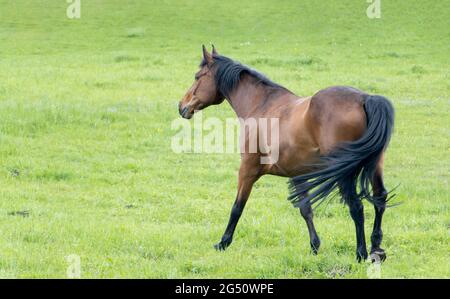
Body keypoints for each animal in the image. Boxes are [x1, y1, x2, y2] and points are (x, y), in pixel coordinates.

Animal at [179, 45, 394, 262]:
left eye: (197, 77)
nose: (181, 106)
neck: (261, 105)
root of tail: (365, 99)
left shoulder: (247, 169)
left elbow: (237, 207)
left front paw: (223, 243)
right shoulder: (298, 174)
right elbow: (306, 210)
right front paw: (314, 246)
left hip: (344, 173)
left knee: (356, 206)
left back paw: (361, 253)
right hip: (375, 166)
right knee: (380, 199)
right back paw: (376, 248)